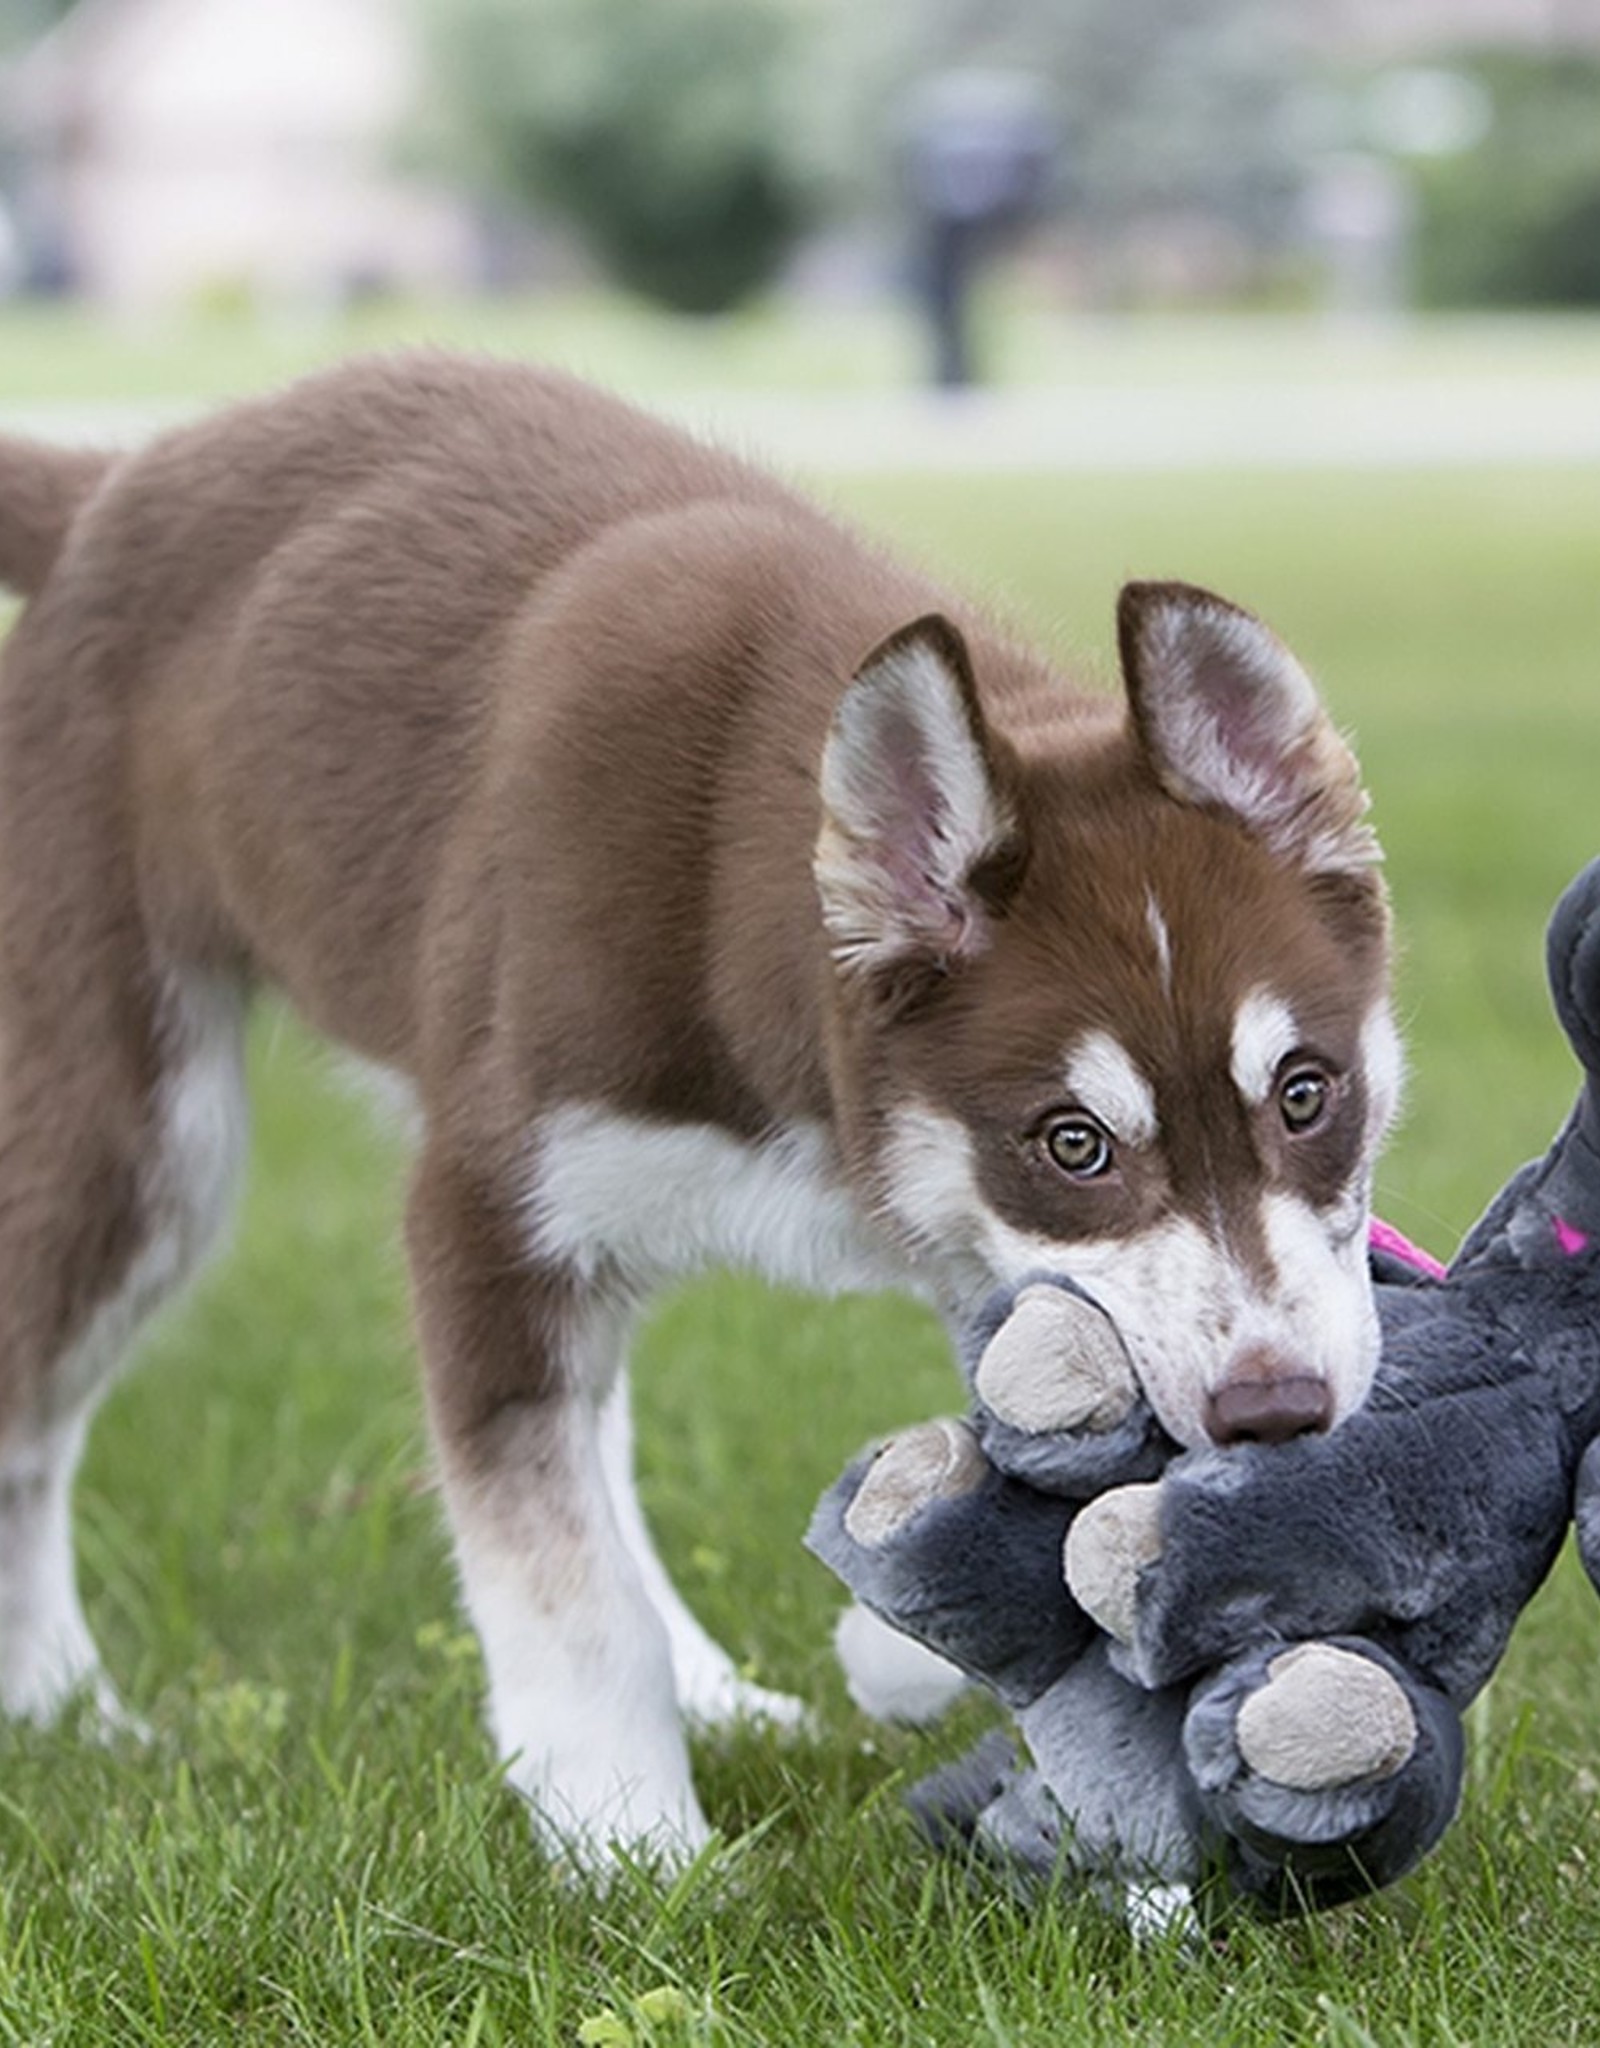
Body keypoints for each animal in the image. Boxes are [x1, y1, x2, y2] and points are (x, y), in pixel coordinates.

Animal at [0, 356, 1401, 1875]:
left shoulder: (963, 1253)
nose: (1277, 1412)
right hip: (143, 1144)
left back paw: (715, 1687)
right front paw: (632, 1849)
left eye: (1306, 1092)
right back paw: (61, 1705)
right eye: (1071, 1144)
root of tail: (118, 478)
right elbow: (565, 1585)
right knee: (35, 1412)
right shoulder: (484, 1206)